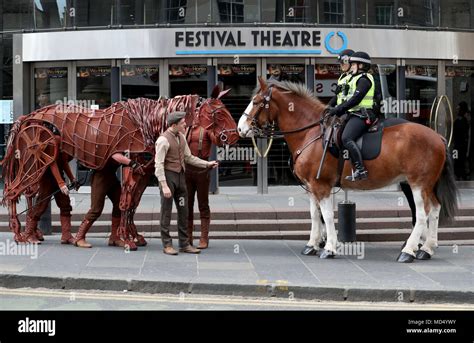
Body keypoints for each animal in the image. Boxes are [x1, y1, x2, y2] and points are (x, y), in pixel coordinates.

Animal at [239, 76, 458, 262]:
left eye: (257, 102)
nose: (241, 128)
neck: (310, 132)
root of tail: (437, 136)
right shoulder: (311, 187)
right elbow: (314, 214)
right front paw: (312, 244)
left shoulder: (321, 185)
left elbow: (327, 215)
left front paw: (329, 247)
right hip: (426, 184)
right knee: (435, 209)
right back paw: (427, 248)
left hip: (418, 184)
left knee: (422, 214)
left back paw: (409, 251)